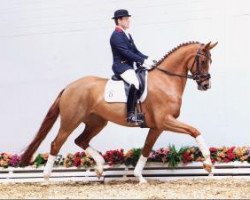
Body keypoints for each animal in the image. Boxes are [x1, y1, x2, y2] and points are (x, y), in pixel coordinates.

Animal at [20, 41, 217, 184]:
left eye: (210, 61)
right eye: (203, 61)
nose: (206, 85)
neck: (166, 80)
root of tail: (69, 87)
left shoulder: (157, 127)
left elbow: (146, 149)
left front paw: (139, 177)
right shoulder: (164, 121)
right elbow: (194, 131)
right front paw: (208, 164)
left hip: (97, 122)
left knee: (80, 140)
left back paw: (100, 167)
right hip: (71, 121)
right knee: (56, 143)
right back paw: (46, 179)